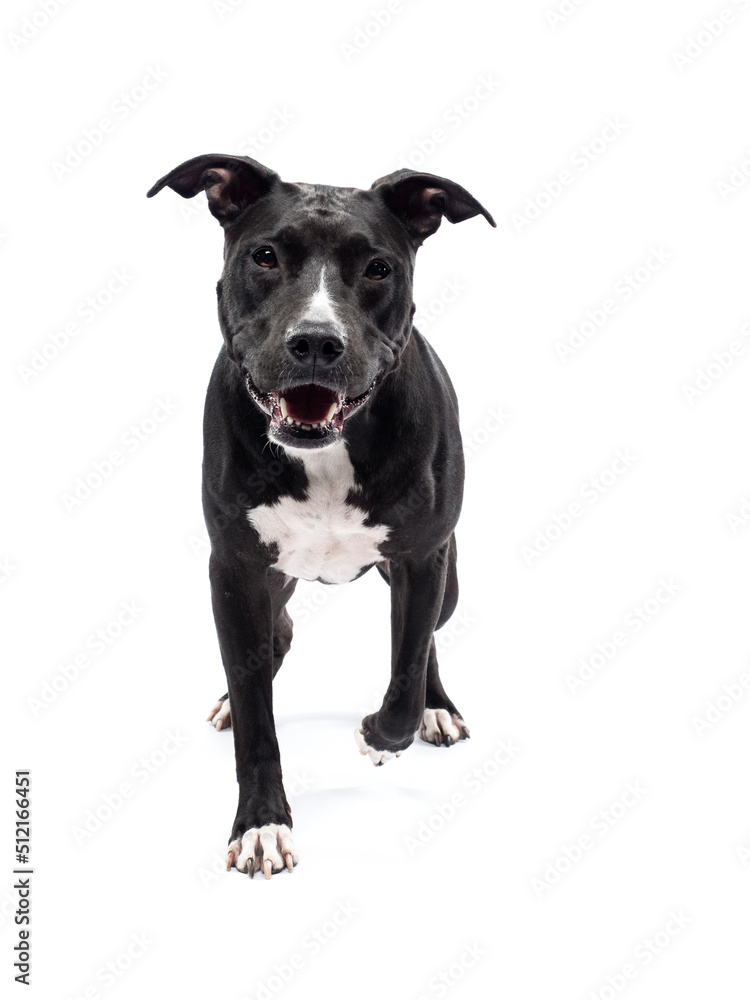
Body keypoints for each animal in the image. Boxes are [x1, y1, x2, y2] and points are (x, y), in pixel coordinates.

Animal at [149, 152, 496, 880]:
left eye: (378, 268)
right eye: (265, 255)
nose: (314, 341)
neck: (326, 455)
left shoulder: (422, 557)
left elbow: (405, 670)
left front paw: (381, 736)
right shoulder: (235, 567)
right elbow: (258, 714)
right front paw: (261, 824)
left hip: (446, 576)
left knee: (425, 639)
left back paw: (437, 708)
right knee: (274, 637)